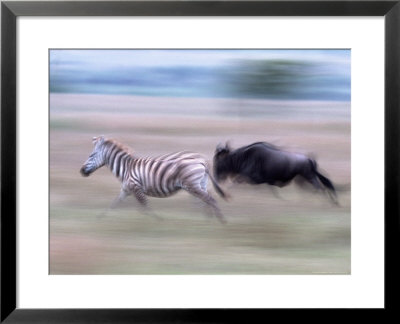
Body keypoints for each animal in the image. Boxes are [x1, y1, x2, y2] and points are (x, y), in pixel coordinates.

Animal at [79, 136, 227, 223]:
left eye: (91, 155)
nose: (81, 171)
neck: (126, 168)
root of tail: (203, 161)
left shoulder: (136, 188)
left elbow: (145, 206)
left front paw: (156, 222)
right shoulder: (126, 190)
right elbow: (114, 204)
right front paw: (99, 218)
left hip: (192, 185)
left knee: (209, 199)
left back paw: (220, 222)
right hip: (200, 183)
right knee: (207, 200)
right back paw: (208, 221)